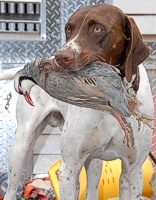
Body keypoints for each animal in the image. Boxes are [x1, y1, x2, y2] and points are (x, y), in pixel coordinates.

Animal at [1, 3, 154, 200]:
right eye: (68, 28)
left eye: (98, 28)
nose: (60, 58)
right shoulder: (69, 169)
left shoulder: (132, 171)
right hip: (21, 145)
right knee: (12, 188)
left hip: (94, 162)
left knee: (92, 190)